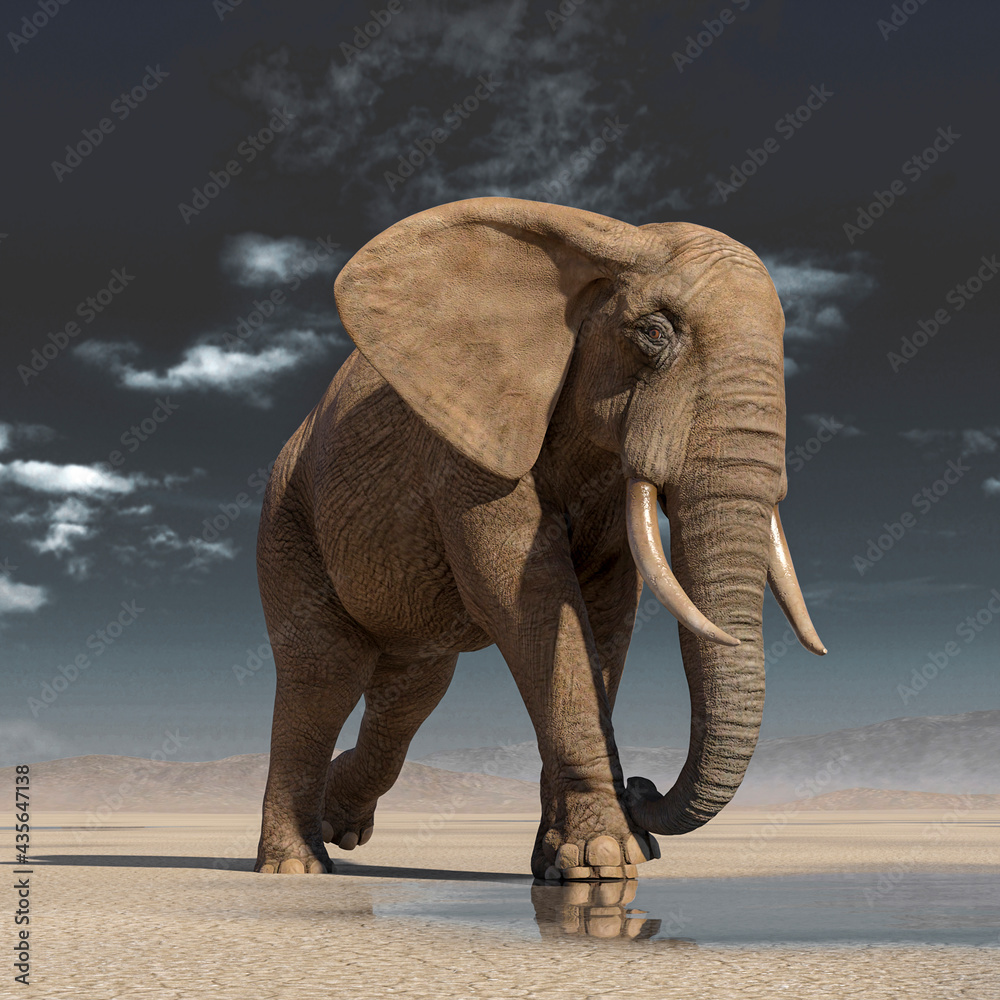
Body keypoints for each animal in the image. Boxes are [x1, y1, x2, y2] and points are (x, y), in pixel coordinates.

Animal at [253, 196, 825, 881]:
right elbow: (528, 602)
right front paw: (605, 859)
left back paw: (340, 825)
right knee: (324, 673)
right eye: (654, 333)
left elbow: (605, 613)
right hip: (288, 520)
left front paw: (573, 860)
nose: (643, 786)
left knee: (412, 690)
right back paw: (296, 867)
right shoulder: (469, 453)